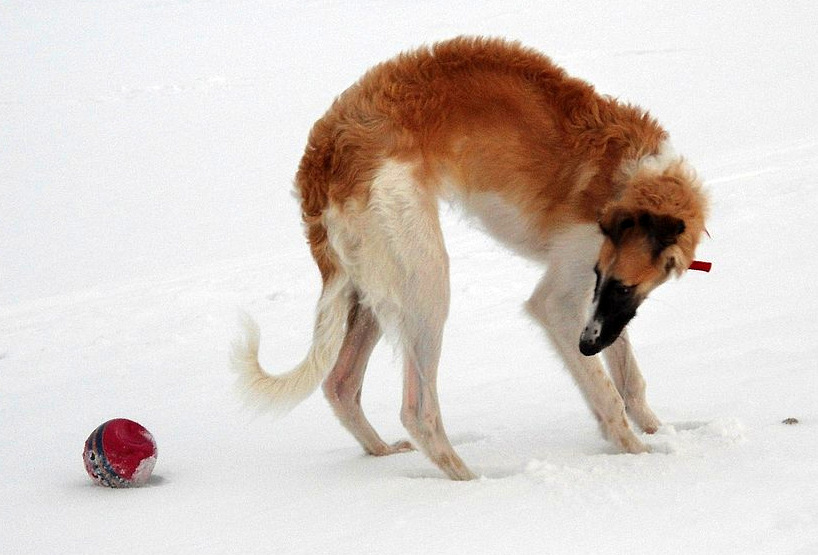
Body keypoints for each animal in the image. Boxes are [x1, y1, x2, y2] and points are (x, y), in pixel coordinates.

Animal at [231, 38, 708, 482]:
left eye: (626, 286)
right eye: (606, 278)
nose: (587, 346)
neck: (630, 179)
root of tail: (323, 156)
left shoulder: (599, 304)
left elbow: (629, 379)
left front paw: (659, 432)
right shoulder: (564, 295)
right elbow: (607, 389)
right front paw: (639, 453)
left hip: (373, 283)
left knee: (340, 385)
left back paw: (384, 451)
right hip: (424, 277)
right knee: (417, 410)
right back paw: (473, 482)